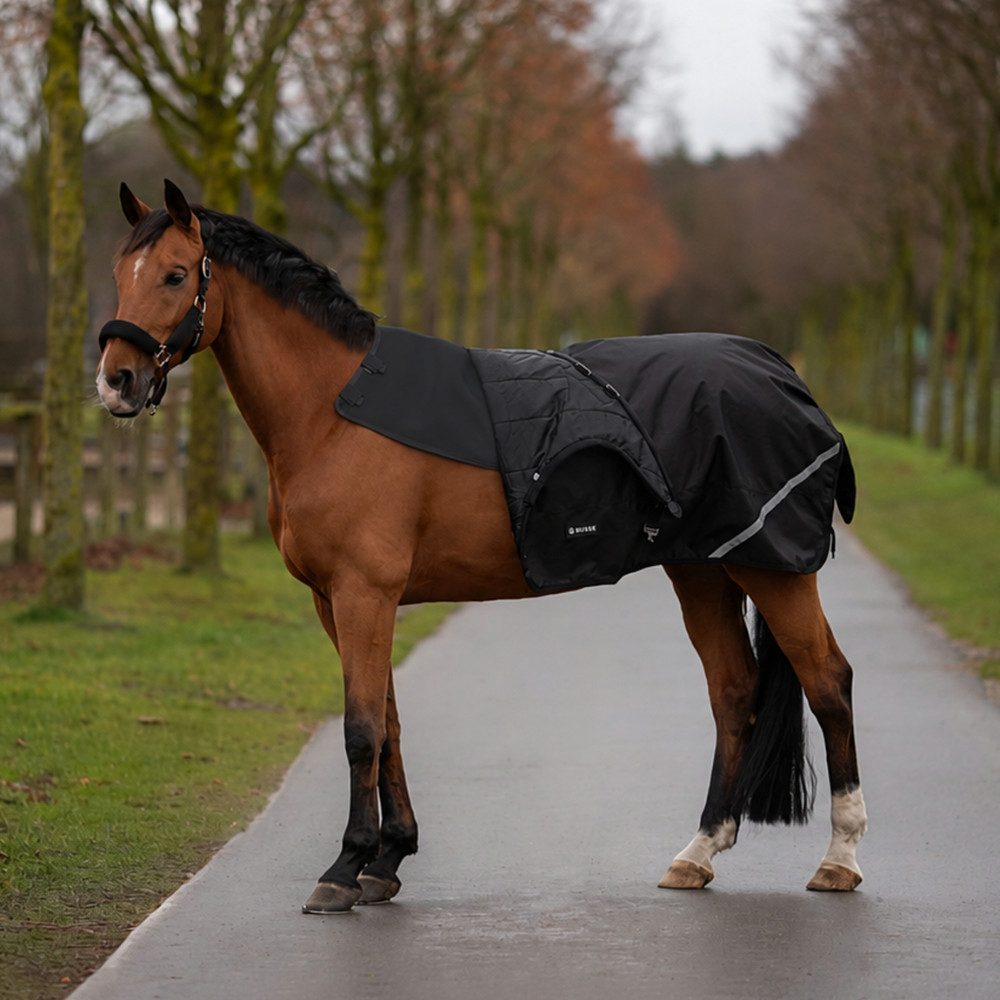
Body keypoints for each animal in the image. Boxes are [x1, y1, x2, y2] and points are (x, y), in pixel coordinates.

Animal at [96, 180, 867, 913]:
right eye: (118, 273)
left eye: (173, 275)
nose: (116, 381)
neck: (334, 411)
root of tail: (781, 373)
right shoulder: (337, 600)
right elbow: (389, 721)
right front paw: (388, 858)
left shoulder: (363, 592)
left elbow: (361, 728)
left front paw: (345, 867)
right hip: (703, 570)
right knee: (733, 691)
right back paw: (698, 853)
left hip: (771, 570)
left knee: (828, 681)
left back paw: (839, 859)